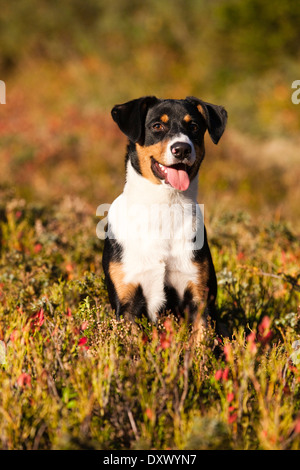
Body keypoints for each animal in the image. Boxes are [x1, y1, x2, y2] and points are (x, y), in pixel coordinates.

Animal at [102, 96, 227, 334]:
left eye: (194, 127)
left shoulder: (198, 298)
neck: (164, 208)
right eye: (157, 126)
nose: (182, 149)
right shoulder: (127, 301)